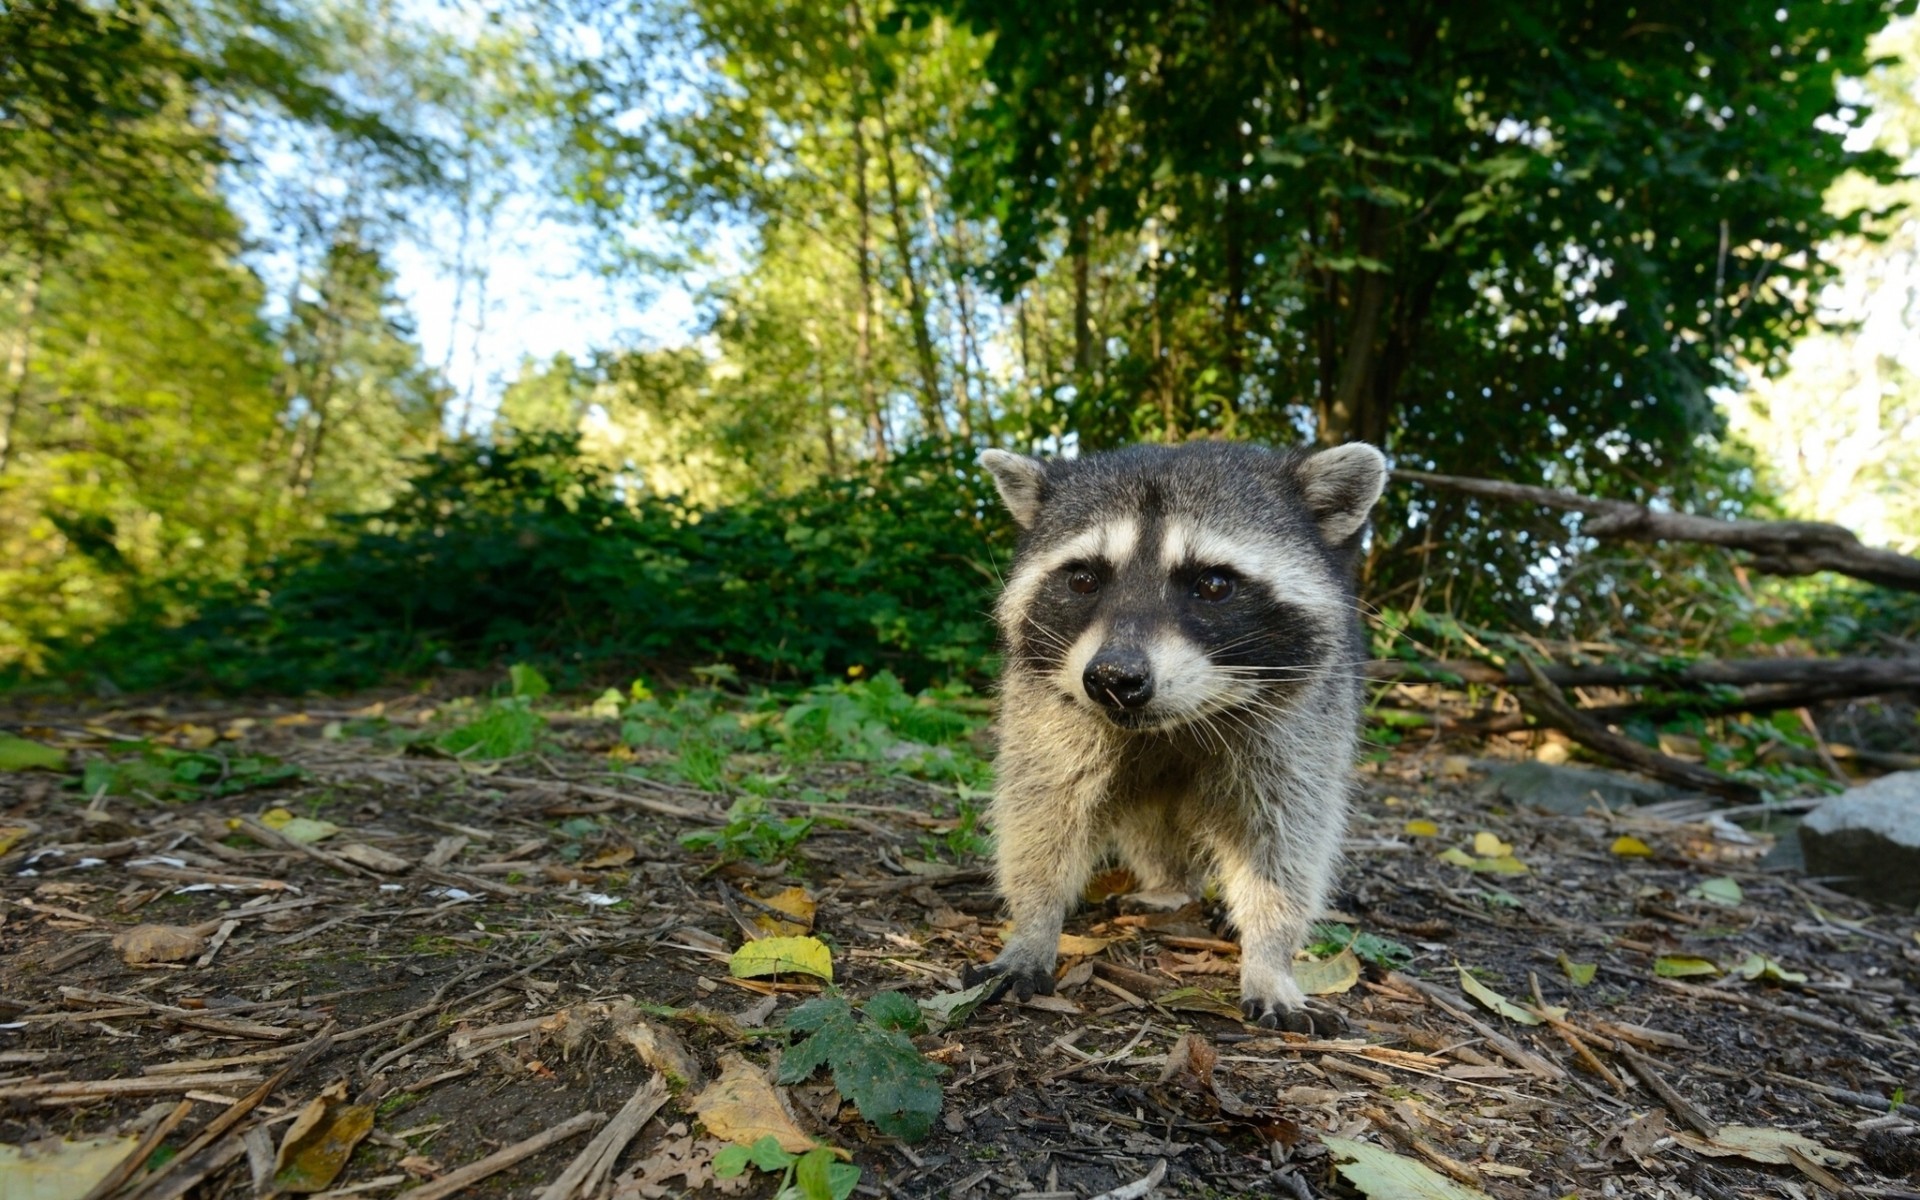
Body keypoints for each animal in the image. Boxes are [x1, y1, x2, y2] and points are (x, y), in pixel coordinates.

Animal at [966, 440, 1387, 1034]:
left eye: (1212, 584)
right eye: (1084, 579)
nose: (1113, 678)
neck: (1177, 720)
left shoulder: (1304, 720)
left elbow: (1286, 837)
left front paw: (1270, 953)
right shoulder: (1047, 707)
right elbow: (1043, 809)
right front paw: (1032, 925)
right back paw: (1170, 883)